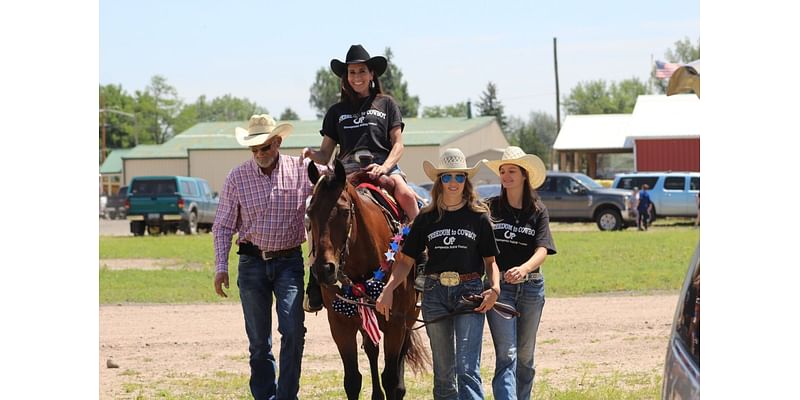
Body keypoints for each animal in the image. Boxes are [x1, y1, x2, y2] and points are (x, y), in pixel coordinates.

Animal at [306, 160, 428, 400]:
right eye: (310, 212)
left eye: (345, 212)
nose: (324, 270)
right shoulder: (340, 325)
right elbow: (352, 380)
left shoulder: (395, 323)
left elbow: (390, 378)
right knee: (371, 349)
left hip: (409, 317)